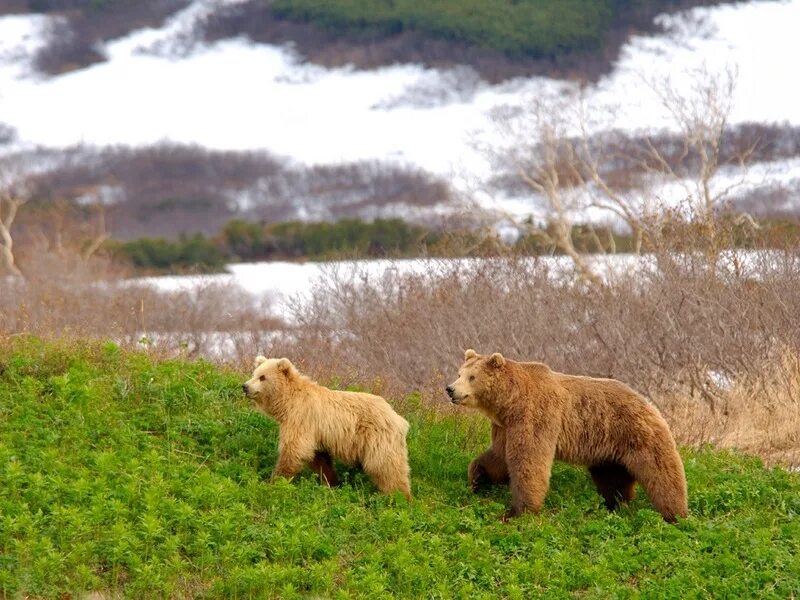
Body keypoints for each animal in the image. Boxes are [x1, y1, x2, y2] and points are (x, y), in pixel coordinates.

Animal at [242, 354, 412, 500]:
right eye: (254, 374)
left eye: (262, 377)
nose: (245, 386)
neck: (287, 403)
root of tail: (398, 418)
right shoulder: (316, 433)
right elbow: (319, 459)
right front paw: (331, 482)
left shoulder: (301, 419)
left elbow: (294, 450)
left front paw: (274, 481)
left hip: (378, 438)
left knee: (386, 467)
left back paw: (399, 497)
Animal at [444, 350, 688, 524]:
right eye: (459, 373)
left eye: (472, 377)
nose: (450, 389)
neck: (510, 403)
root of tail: (647, 402)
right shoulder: (505, 426)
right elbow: (498, 457)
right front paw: (478, 478)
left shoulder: (536, 416)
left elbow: (529, 462)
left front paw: (518, 511)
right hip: (608, 449)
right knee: (612, 478)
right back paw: (615, 505)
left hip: (638, 434)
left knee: (662, 472)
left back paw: (675, 514)